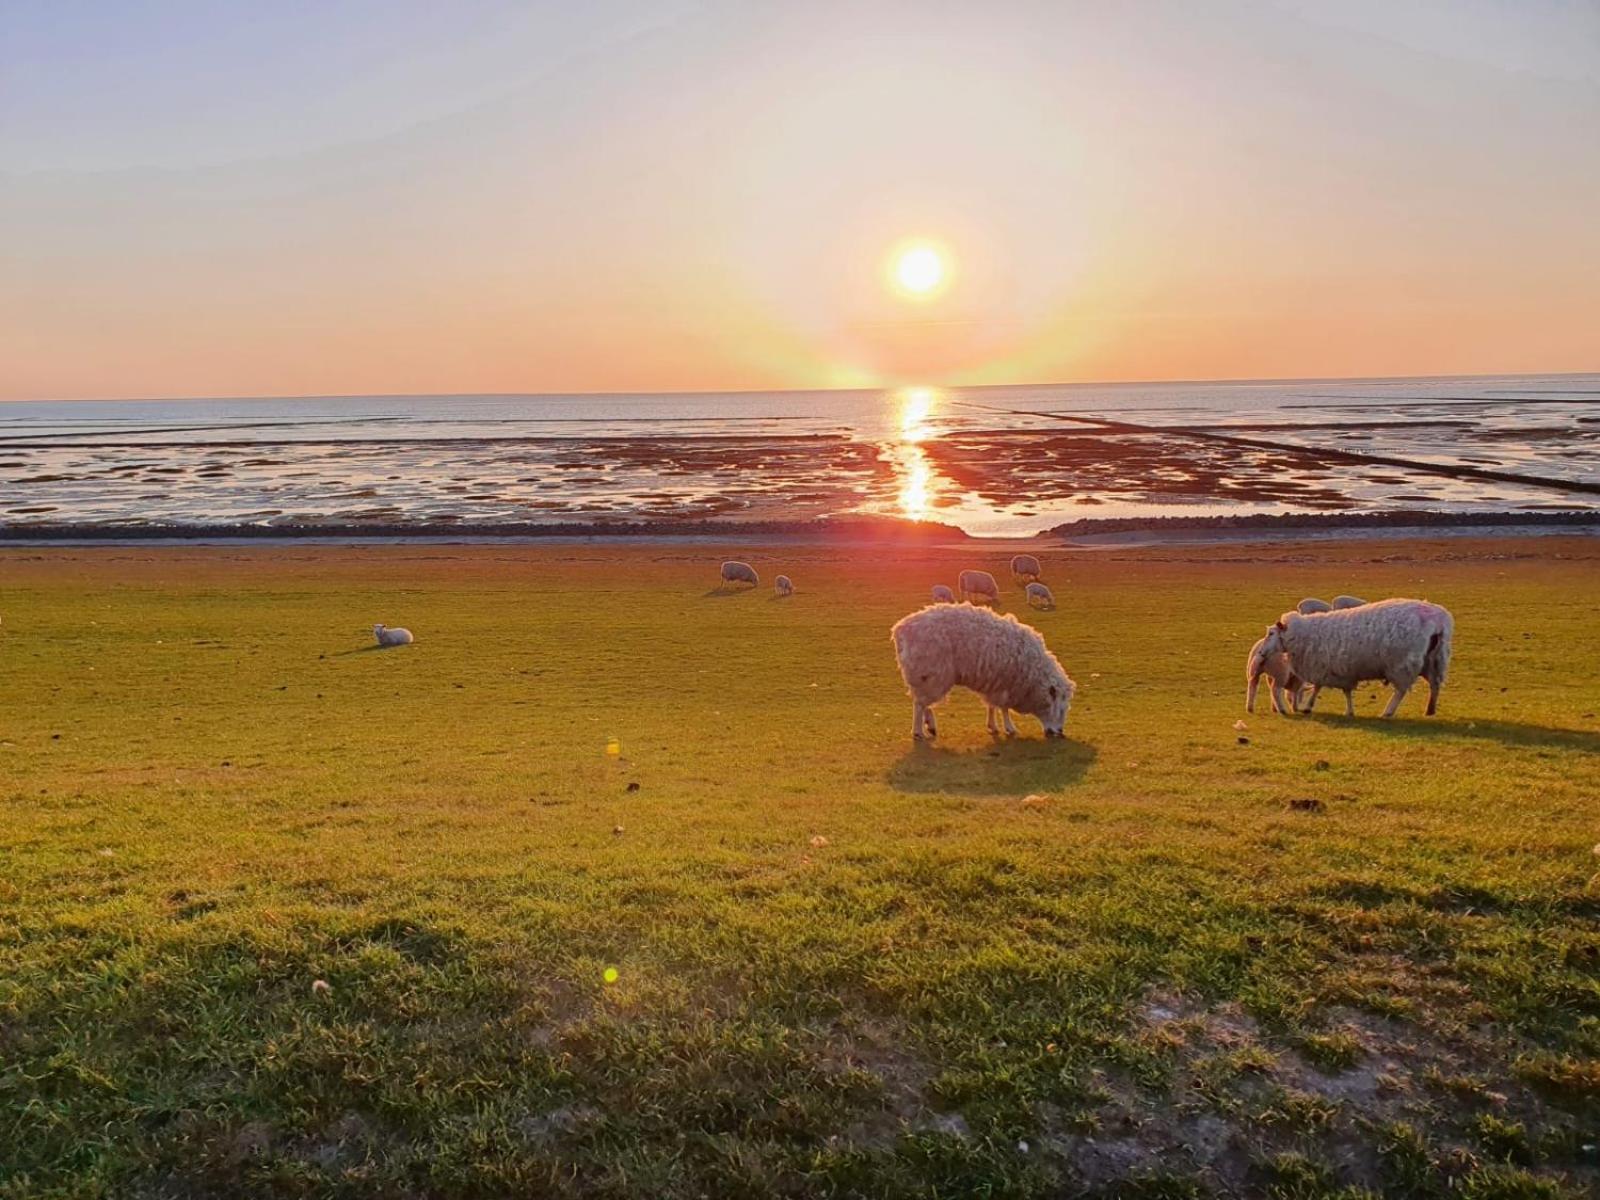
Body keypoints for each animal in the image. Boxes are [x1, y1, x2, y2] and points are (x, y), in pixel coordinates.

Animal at [889, 611, 1075, 742]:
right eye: (1060, 709)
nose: (1060, 732)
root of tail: (899, 630)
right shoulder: (1006, 684)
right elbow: (1004, 707)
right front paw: (1009, 727)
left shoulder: (995, 682)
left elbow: (992, 705)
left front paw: (992, 726)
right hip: (930, 673)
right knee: (919, 704)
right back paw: (918, 731)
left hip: (928, 677)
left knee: (922, 701)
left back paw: (930, 726)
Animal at [1267, 598, 1459, 720]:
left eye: (1271, 634)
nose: (1263, 652)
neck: (1303, 634)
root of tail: (1438, 620)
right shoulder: (1341, 671)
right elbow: (1343, 691)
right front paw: (1348, 711)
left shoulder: (1325, 666)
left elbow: (1318, 687)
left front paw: (1308, 706)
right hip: (1435, 659)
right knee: (1435, 685)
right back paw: (1430, 710)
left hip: (1401, 664)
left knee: (1401, 691)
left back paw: (1388, 712)